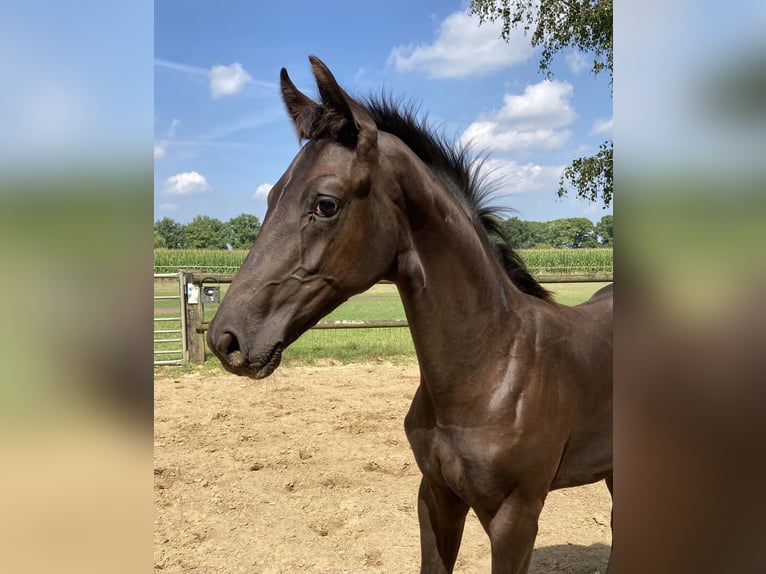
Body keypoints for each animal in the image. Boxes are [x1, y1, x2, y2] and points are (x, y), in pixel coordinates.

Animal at [207, 56, 613, 574]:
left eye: (325, 204)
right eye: (271, 195)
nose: (226, 339)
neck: (492, 369)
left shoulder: (517, 518)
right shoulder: (435, 496)